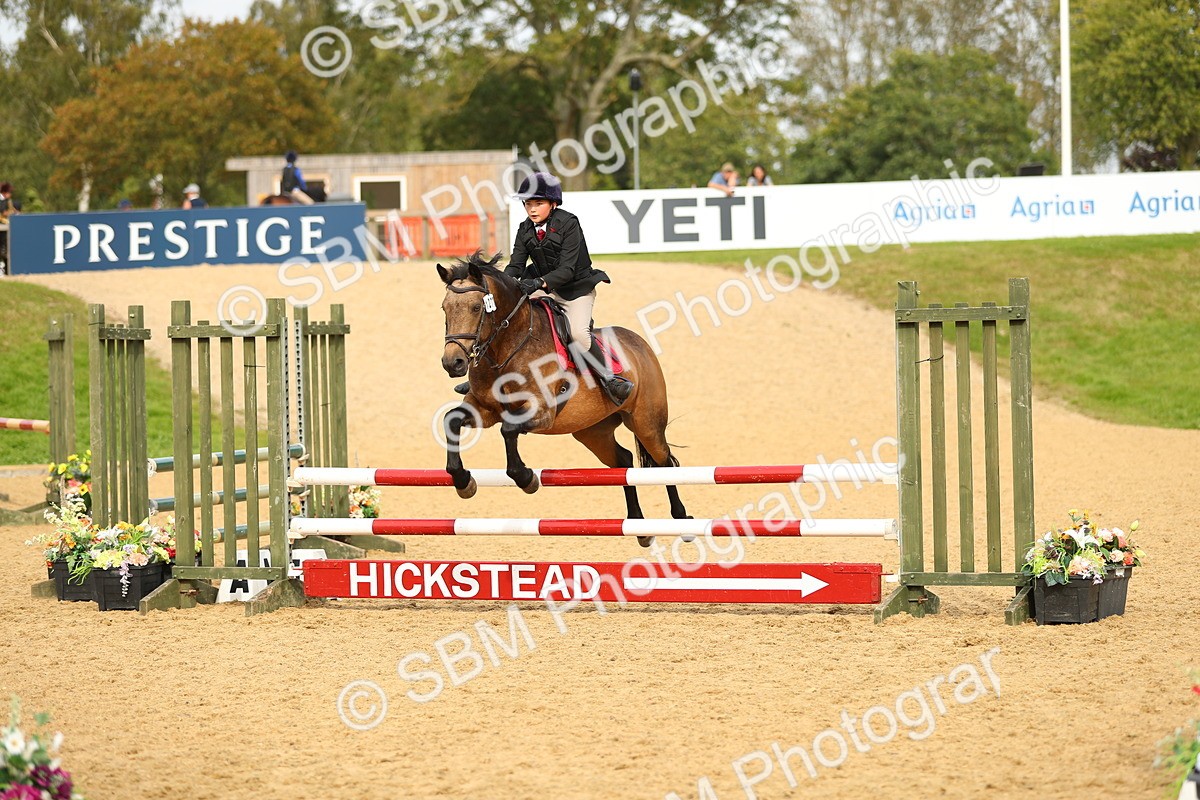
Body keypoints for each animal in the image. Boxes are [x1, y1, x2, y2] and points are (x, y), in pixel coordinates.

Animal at [437, 252, 689, 546]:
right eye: (445, 308)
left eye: (477, 307)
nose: (453, 363)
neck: (507, 347)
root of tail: (640, 344)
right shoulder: (484, 409)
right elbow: (451, 421)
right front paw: (463, 481)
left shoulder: (542, 412)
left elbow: (508, 430)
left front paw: (527, 479)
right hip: (592, 431)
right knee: (624, 461)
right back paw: (639, 526)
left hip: (646, 423)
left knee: (664, 462)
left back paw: (682, 520)